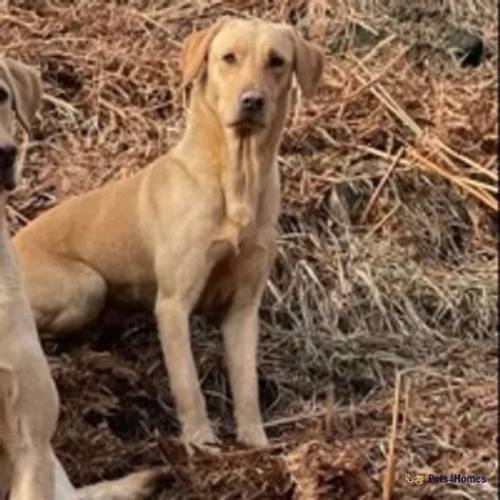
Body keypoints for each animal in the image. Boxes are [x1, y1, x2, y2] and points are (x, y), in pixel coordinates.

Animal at [14, 19, 324, 450]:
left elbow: (246, 384)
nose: (252, 101)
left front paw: (255, 441)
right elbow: (188, 383)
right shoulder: (174, 304)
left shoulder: (244, 307)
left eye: (276, 61)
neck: (236, 179)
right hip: (85, 285)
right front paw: (201, 440)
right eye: (228, 58)